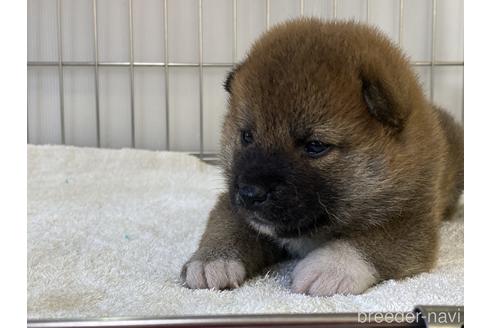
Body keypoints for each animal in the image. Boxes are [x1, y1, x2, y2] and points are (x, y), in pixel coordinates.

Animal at [180, 19, 462, 296]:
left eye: (315, 146)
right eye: (247, 136)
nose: (250, 193)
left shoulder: (413, 223)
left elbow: (368, 242)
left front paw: (329, 267)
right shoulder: (232, 202)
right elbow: (226, 223)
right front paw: (213, 260)